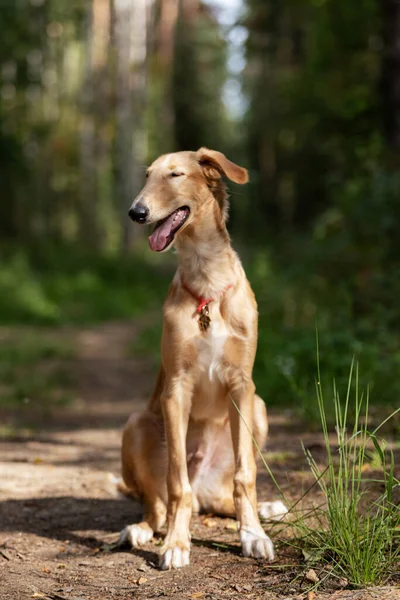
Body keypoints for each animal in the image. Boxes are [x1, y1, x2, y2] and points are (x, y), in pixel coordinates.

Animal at [120, 148, 286, 568]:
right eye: (147, 176)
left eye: (175, 175)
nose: (135, 212)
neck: (207, 278)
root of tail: (205, 490)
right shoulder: (176, 389)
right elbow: (176, 482)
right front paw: (177, 544)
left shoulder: (243, 385)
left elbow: (246, 477)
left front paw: (252, 535)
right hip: (136, 424)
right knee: (159, 505)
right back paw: (142, 530)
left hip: (259, 409)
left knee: (227, 497)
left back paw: (265, 510)